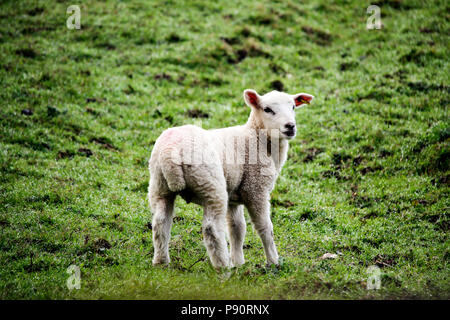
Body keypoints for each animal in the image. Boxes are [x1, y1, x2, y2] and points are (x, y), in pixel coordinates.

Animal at [148, 89, 312, 268]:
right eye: (267, 109)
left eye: (293, 107)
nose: (290, 126)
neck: (257, 139)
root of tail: (170, 152)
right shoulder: (255, 188)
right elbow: (264, 226)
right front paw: (273, 262)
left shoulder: (234, 195)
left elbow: (237, 228)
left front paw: (239, 262)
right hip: (211, 185)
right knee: (211, 228)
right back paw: (223, 266)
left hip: (159, 185)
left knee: (160, 223)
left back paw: (161, 262)